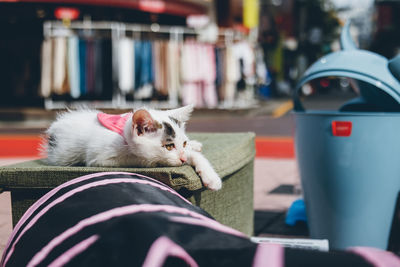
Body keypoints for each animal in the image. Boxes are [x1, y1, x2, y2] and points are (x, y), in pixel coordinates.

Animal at [41, 105, 222, 192]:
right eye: (169, 146)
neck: (122, 132)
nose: (183, 159)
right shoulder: (99, 158)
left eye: (182, 143)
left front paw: (211, 177)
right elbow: (144, 159)